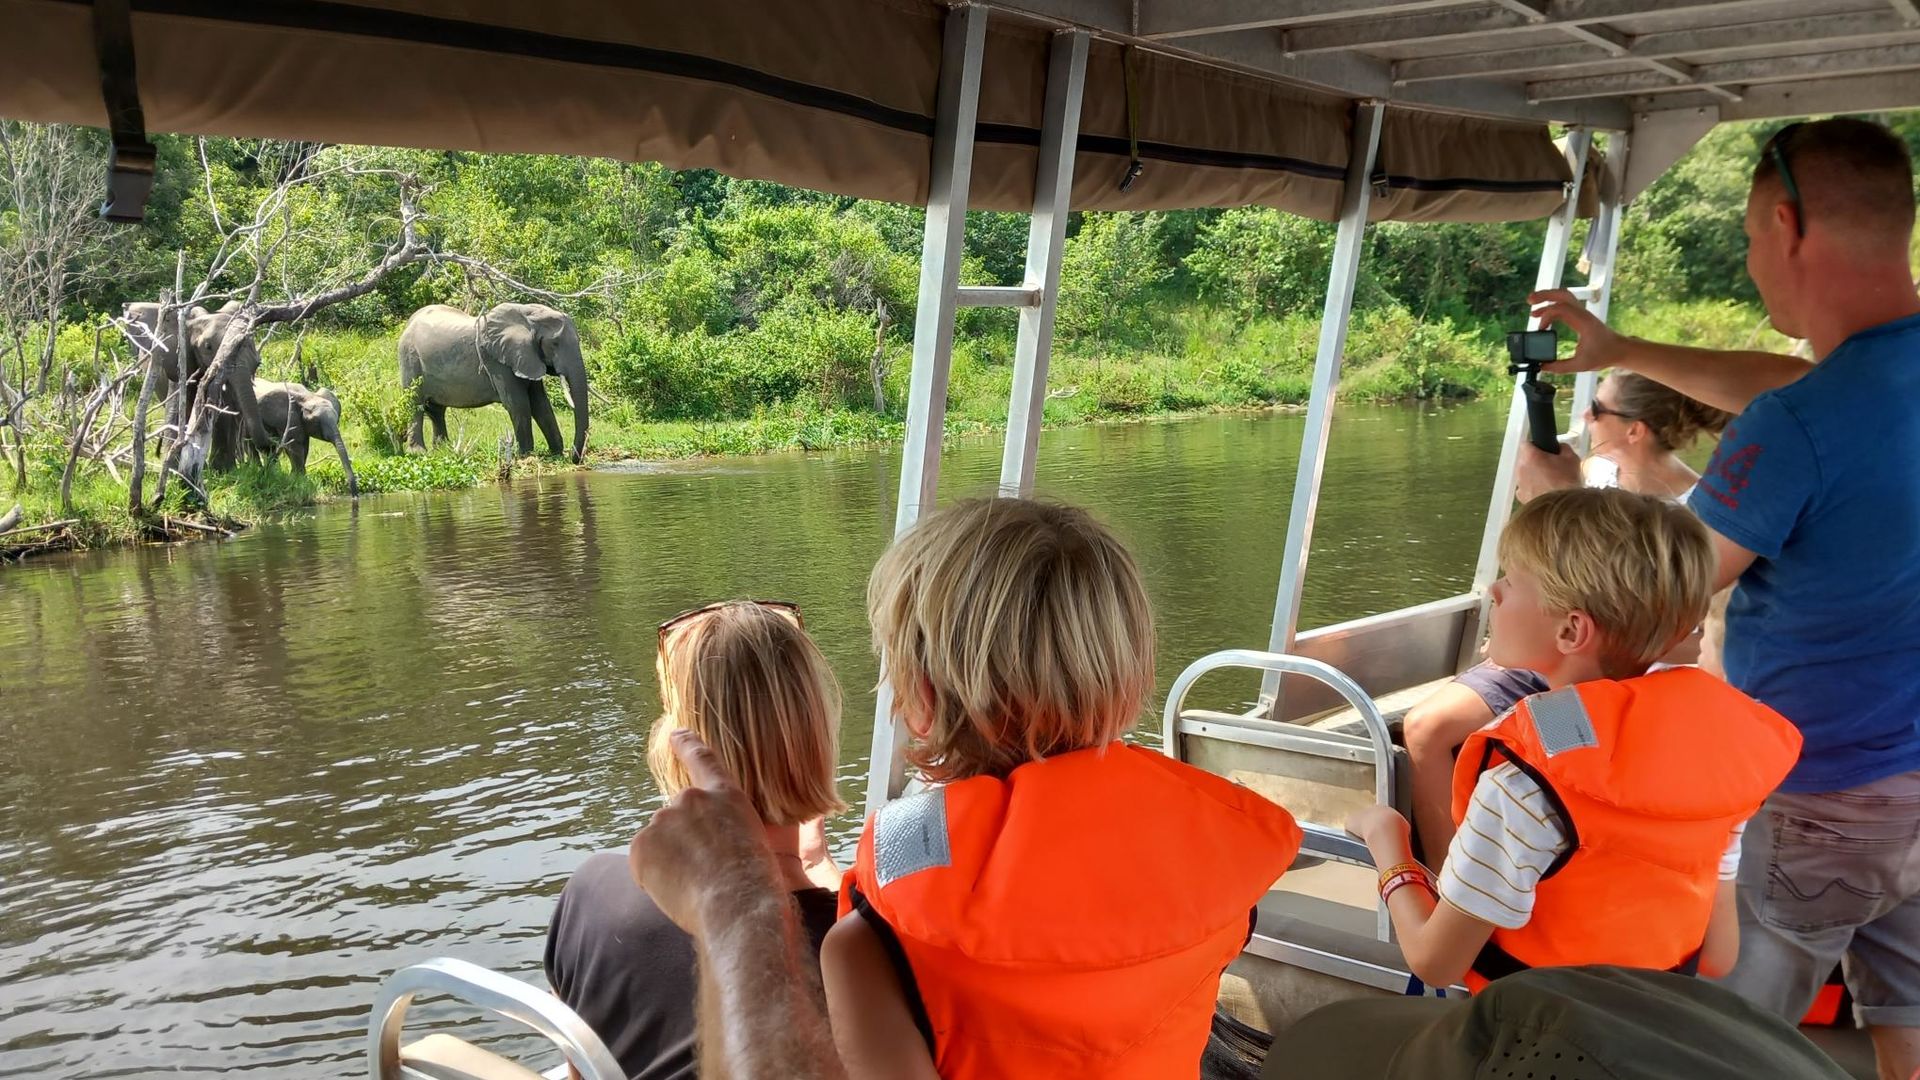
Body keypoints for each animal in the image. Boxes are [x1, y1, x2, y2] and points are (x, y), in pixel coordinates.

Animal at [393, 299, 587, 461]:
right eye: (554, 344)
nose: (574, 458)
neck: (528, 316)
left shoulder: (527, 357)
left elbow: (541, 404)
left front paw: (556, 454)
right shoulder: (497, 362)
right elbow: (518, 404)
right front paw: (526, 455)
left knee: (436, 409)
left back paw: (442, 449)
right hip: (410, 358)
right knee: (415, 403)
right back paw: (419, 453)